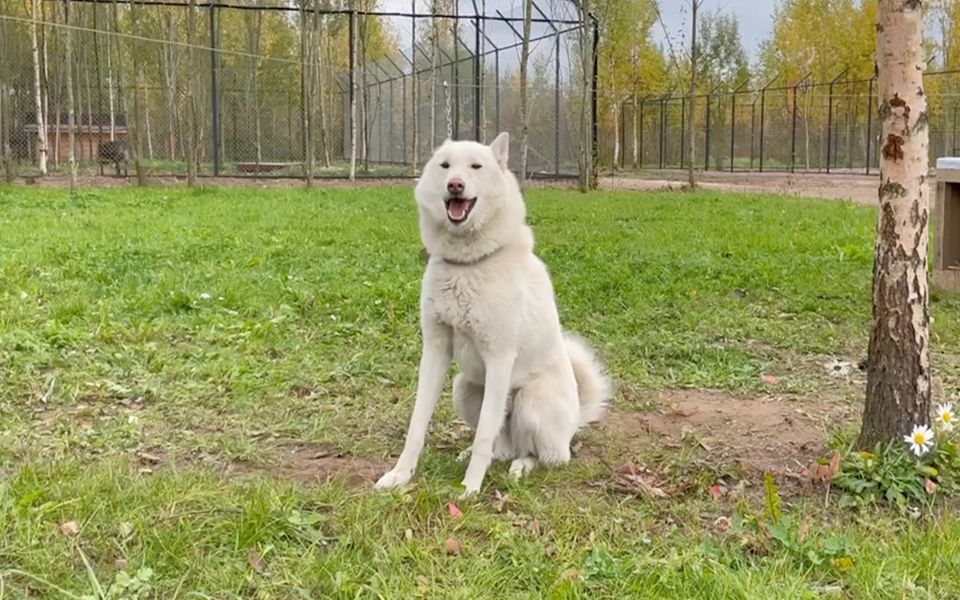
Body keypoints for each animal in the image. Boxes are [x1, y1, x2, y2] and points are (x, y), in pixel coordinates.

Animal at [376, 134, 608, 494]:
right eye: (445, 166)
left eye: (476, 166)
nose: (455, 185)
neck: (467, 265)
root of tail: (575, 424)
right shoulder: (435, 350)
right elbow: (418, 424)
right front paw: (400, 475)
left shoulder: (499, 358)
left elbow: (485, 434)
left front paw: (469, 489)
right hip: (464, 388)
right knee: (502, 445)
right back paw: (477, 453)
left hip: (530, 402)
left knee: (546, 456)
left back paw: (522, 466)